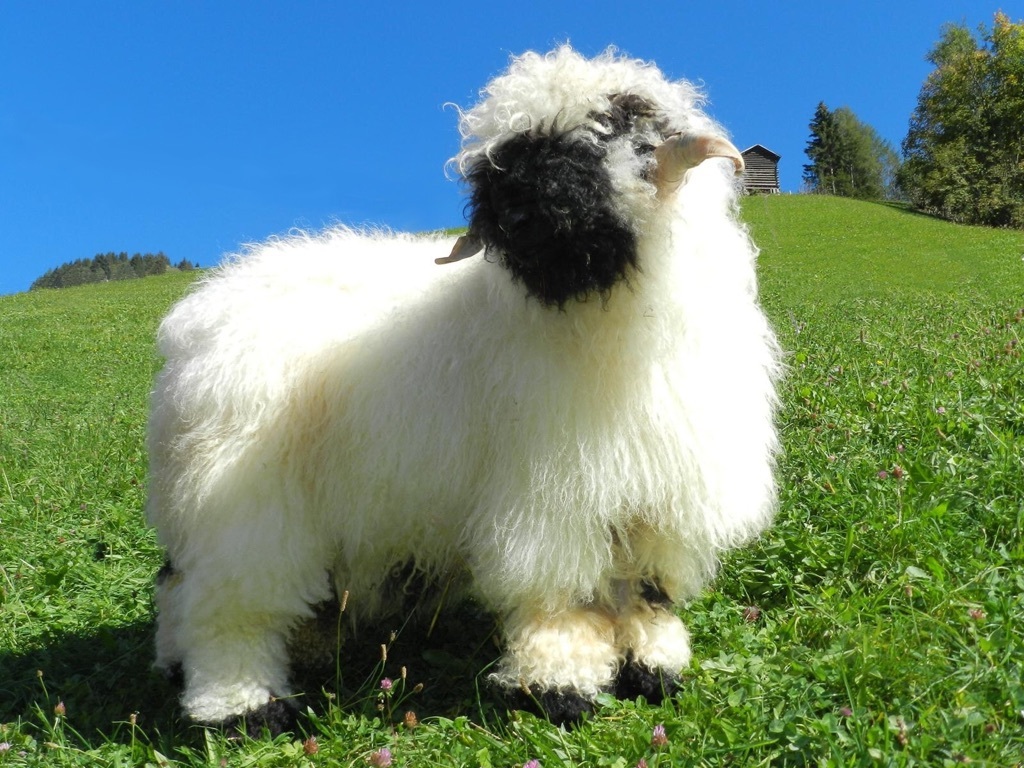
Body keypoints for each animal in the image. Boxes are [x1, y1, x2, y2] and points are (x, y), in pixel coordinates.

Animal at [148, 45, 778, 737]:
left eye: (609, 129)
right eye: (501, 154)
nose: (513, 214)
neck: (610, 327)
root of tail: (199, 317)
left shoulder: (660, 499)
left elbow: (645, 593)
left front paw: (653, 666)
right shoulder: (551, 499)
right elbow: (562, 598)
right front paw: (559, 684)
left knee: (183, 588)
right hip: (243, 502)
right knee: (226, 607)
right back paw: (241, 705)